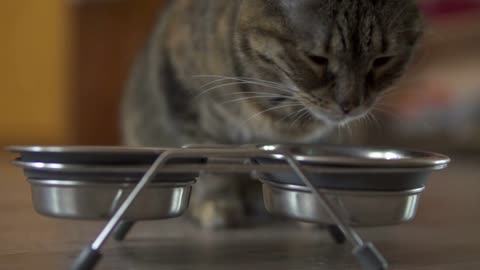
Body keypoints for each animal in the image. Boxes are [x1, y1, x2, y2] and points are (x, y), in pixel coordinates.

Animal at [122, 0, 422, 230]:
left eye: (382, 60)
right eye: (317, 58)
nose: (350, 104)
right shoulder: (185, 100)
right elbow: (209, 166)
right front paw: (217, 205)